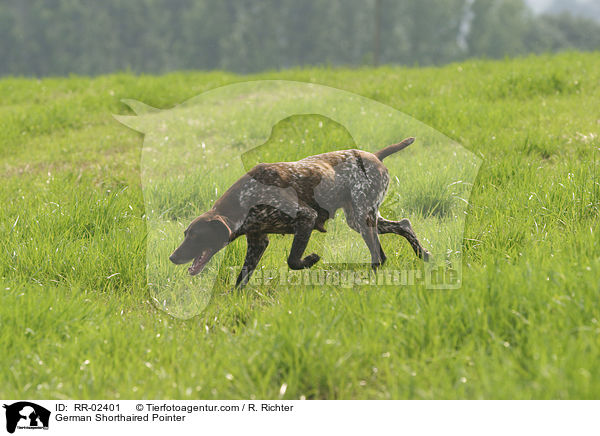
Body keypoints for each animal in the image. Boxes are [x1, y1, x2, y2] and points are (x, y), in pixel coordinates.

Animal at [171, 136, 428, 286]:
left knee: (379, 255)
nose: (173, 257)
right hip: (360, 218)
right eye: (186, 234)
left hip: (363, 218)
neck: (246, 200)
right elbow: (241, 280)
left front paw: (311, 259)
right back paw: (423, 253)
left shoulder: (306, 218)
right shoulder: (257, 242)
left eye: (195, 236)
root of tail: (374, 155)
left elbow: (293, 260)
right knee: (402, 225)